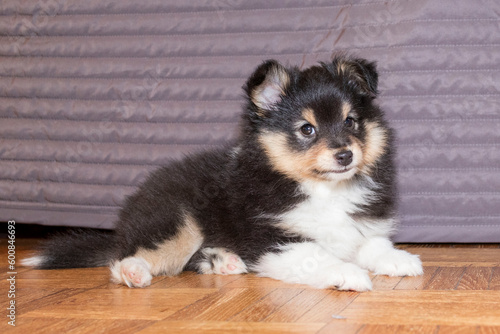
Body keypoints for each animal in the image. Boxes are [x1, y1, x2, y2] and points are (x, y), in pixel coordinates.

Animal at [22, 54, 422, 290]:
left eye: (351, 121)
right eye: (307, 129)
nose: (345, 155)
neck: (321, 188)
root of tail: (125, 222)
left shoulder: (358, 225)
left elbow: (371, 242)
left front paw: (400, 260)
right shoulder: (272, 239)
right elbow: (317, 255)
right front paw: (348, 274)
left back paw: (223, 261)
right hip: (179, 220)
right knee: (127, 258)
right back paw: (135, 272)